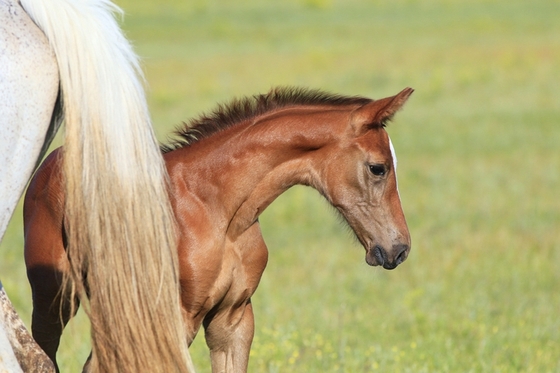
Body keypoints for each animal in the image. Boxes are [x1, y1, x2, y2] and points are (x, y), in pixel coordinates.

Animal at [24, 85, 414, 370]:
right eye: (378, 168)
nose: (399, 248)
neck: (220, 212)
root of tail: (52, 162)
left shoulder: (233, 319)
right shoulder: (177, 318)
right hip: (56, 294)